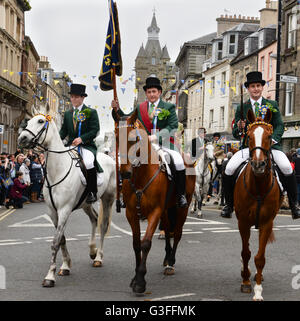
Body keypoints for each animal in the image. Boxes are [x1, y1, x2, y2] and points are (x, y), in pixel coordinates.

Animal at [17, 114, 116, 286]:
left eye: (41, 121)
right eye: (28, 122)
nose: (22, 138)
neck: (57, 170)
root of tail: (108, 157)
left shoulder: (64, 209)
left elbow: (55, 242)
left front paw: (50, 276)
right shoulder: (53, 212)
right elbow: (62, 239)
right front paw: (65, 266)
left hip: (107, 199)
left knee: (103, 225)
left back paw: (98, 257)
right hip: (86, 203)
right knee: (94, 219)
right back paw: (92, 250)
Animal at [113, 109, 196, 292]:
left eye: (135, 139)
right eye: (116, 137)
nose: (125, 173)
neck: (142, 174)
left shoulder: (154, 212)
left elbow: (145, 243)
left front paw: (140, 280)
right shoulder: (132, 213)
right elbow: (136, 243)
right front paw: (135, 277)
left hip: (183, 207)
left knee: (177, 233)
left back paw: (170, 263)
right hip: (166, 209)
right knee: (167, 230)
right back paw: (166, 258)